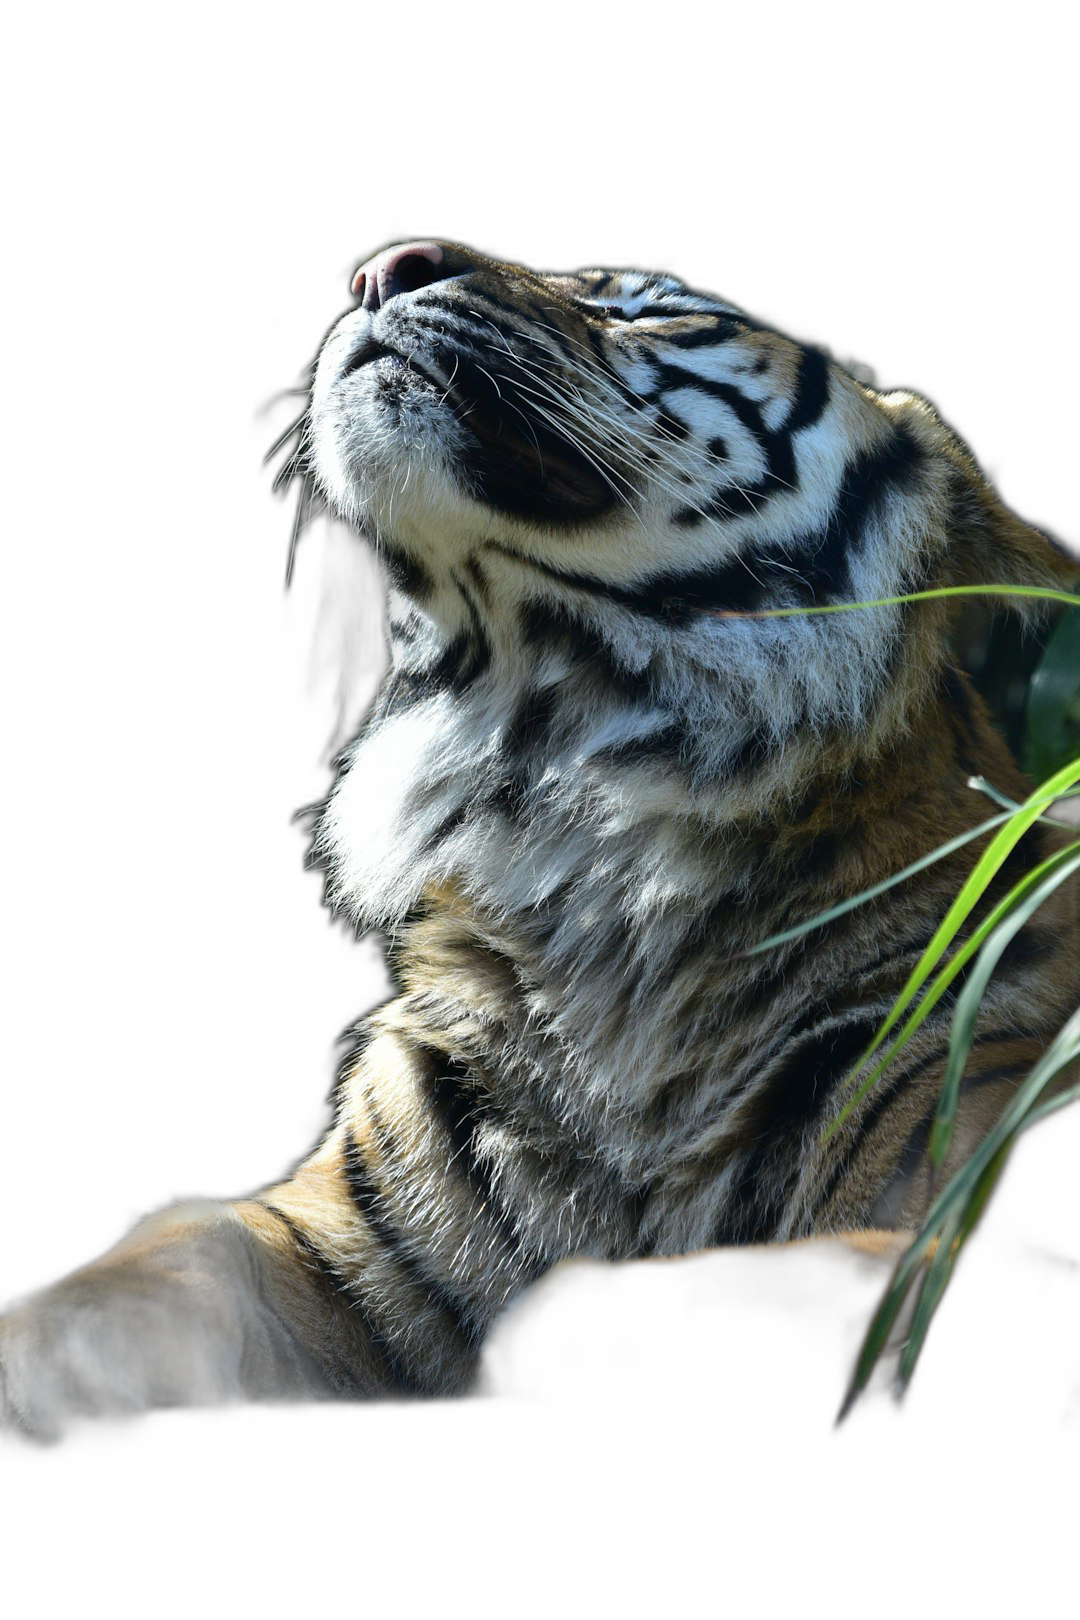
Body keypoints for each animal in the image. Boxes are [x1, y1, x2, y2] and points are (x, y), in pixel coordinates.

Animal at [4, 234, 1075, 1438]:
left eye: (655, 312)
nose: (383, 267)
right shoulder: (338, 1240)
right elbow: (187, 1244)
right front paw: (66, 1341)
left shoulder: (981, 1209)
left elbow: (792, 1275)